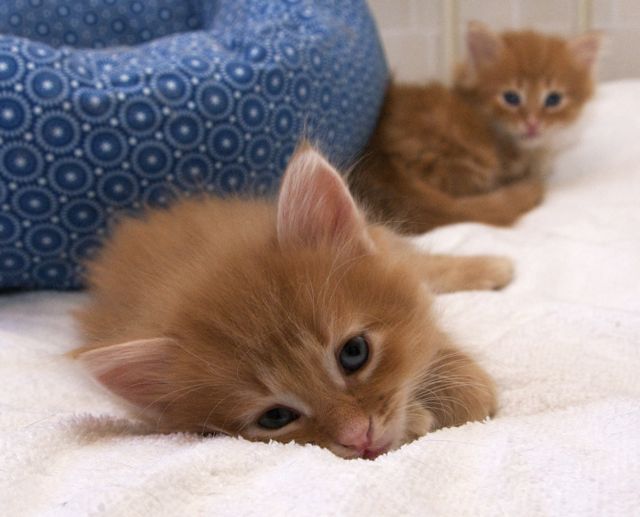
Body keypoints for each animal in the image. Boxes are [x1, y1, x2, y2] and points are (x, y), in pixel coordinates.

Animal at [73, 143, 512, 460]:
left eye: (354, 353)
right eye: (276, 417)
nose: (359, 437)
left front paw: (455, 387)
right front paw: (421, 415)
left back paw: (493, 265)